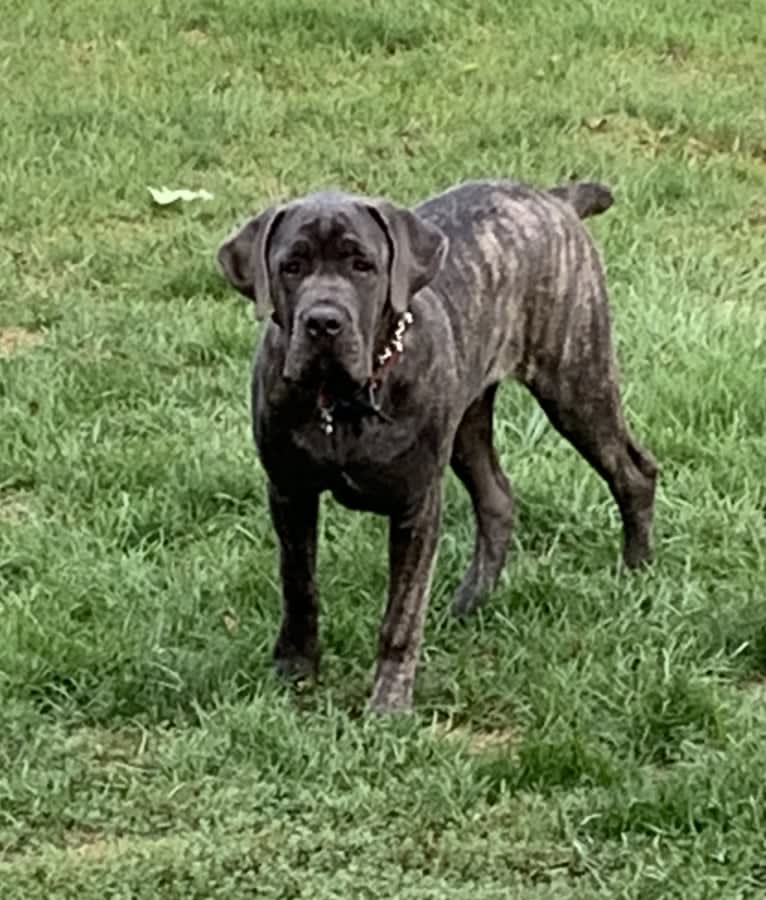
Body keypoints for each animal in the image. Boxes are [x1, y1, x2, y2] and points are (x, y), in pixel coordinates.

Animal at [218, 178, 660, 712]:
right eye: (292, 266)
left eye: (363, 265)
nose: (323, 321)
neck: (344, 403)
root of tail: (554, 198)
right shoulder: (289, 489)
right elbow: (298, 585)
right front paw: (295, 669)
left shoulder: (415, 503)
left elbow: (401, 614)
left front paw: (389, 703)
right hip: (469, 423)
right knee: (497, 499)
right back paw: (471, 601)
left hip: (576, 384)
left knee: (634, 472)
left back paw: (637, 570)